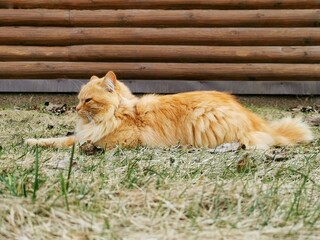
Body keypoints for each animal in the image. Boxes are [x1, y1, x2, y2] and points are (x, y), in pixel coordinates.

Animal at [26, 71, 314, 150]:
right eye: (79, 99)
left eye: (87, 101)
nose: (75, 108)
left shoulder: (106, 139)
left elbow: (64, 141)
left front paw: (32, 141)